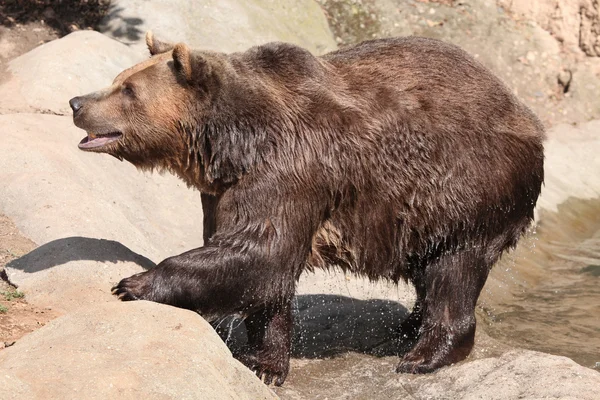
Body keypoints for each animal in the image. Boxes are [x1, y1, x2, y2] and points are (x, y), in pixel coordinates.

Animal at [69, 32, 544, 386]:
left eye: (127, 89)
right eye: (119, 78)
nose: (77, 103)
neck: (232, 143)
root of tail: (523, 109)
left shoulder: (289, 171)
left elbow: (262, 253)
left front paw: (133, 282)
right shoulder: (227, 191)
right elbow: (260, 271)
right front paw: (265, 362)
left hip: (469, 187)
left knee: (455, 270)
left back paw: (423, 355)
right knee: (429, 270)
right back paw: (404, 329)